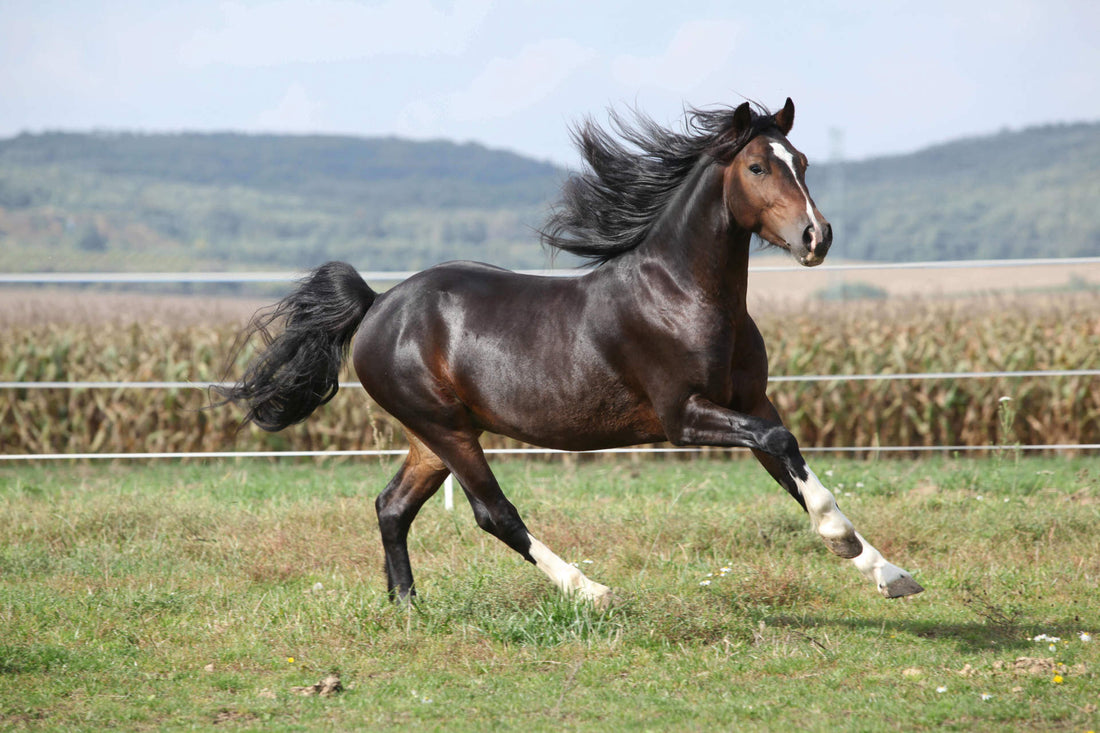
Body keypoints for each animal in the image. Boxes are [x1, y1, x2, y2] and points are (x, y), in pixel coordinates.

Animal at [218, 101, 924, 603]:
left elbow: (792, 465)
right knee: (493, 513)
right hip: (447, 430)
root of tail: (375, 305)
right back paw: (591, 590)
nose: (816, 236)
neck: (684, 294)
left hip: (433, 435)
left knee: (392, 507)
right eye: (757, 167)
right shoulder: (684, 416)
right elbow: (783, 448)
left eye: (801, 160)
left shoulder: (750, 403)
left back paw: (407, 607)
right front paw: (844, 544)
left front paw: (888, 573)